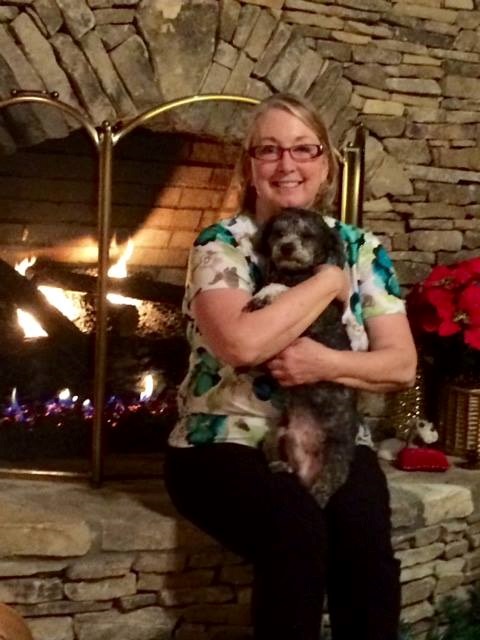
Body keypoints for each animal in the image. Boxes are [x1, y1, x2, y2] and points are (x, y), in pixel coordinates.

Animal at [247, 207, 358, 507]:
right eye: (278, 232)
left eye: (308, 235)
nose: (286, 247)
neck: (294, 274)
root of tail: (305, 471)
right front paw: (264, 293)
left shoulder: (315, 319)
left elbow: (285, 291)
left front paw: (271, 293)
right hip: (275, 432)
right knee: (272, 454)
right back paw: (280, 466)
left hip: (337, 457)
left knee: (326, 487)